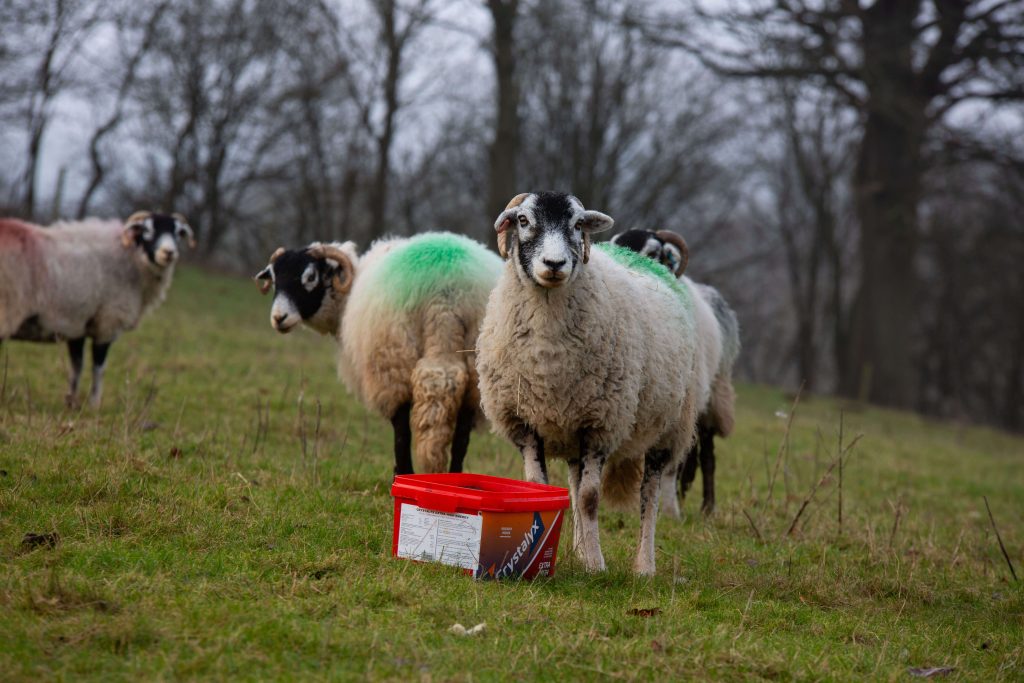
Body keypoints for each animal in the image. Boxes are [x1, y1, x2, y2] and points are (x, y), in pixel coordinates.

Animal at [0, 210, 194, 409]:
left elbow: (77, 366)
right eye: (147, 230)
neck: (131, 259)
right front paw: (94, 404)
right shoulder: (107, 324)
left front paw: (71, 401)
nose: (168, 253)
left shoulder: (76, 327)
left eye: (178, 232)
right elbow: (98, 367)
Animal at [251, 232, 499, 479]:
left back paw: (403, 474)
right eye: (274, 278)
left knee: (401, 432)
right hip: (475, 373)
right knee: (461, 439)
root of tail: (447, 295)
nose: (279, 318)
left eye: (310, 277)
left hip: (392, 362)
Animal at [473, 192, 704, 577]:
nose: (554, 264)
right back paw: (581, 549)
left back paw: (644, 565)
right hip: (570, 429)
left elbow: (590, 498)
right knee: (574, 482)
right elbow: (540, 489)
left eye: (578, 224)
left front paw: (597, 565)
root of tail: (649, 264)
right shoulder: (525, 423)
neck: (548, 352)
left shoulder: (601, 424)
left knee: (650, 497)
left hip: (668, 429)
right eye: (523, 220)